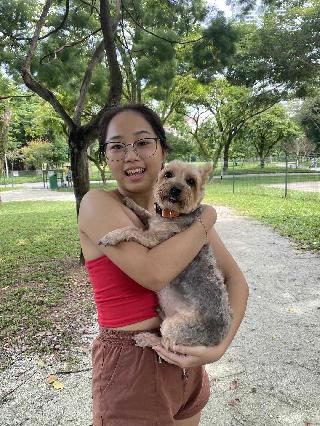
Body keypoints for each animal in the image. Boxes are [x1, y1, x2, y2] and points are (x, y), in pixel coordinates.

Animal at [99, 160, 231, 350]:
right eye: (168, 174)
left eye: (191, 181)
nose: (175, 189)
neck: (171, 214)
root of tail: (218, 338)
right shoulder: (153, 221)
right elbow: (145, 213)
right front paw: (130, 201)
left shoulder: (155, 240)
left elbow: (131, 229)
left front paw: (112, 235)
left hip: (176, 326)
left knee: (166, 344)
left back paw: (147, 338)